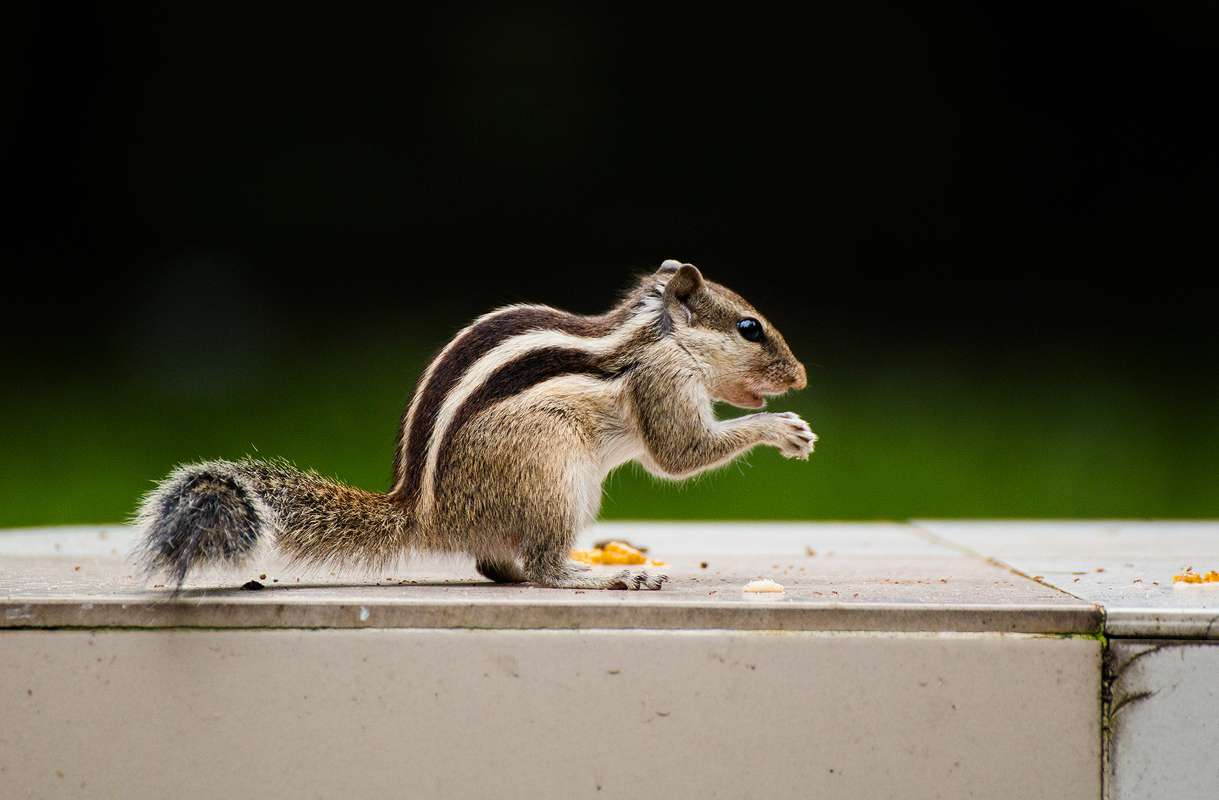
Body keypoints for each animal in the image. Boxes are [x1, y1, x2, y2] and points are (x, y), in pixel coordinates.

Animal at [134, 260, 815, 591]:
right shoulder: (662, 382)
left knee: (498, 566)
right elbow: (679, 454)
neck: (657, 337)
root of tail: (426, 512)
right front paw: (782, 427)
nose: (802, 376)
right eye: (749, 328)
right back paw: (605, 576)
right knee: (542, 569)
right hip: (553, 475)